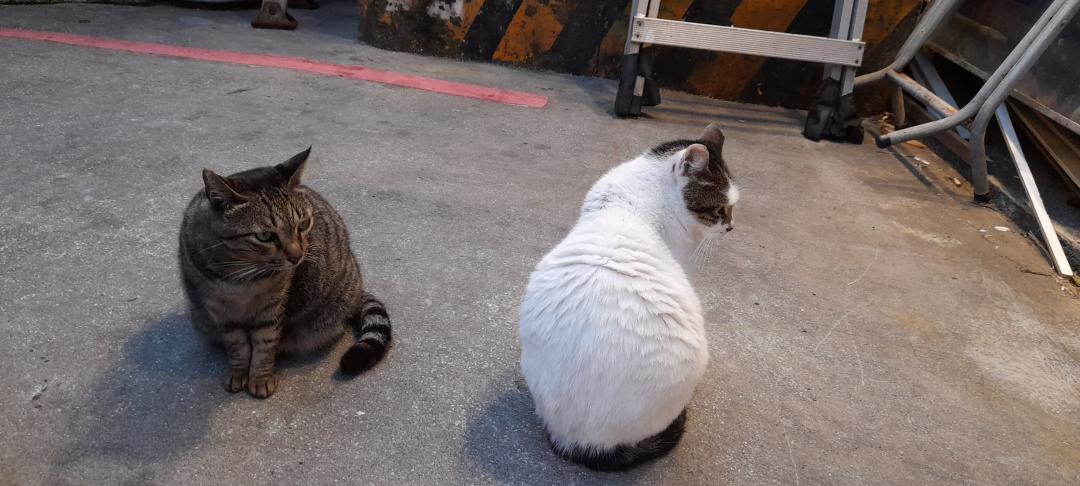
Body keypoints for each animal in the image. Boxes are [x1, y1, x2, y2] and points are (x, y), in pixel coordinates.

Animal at [178, 147, 391, 398]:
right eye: (265, 236)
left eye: (303, 224)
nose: (297, 256)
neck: (241, 278)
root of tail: (358, 286)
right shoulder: (222, 311)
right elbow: (237, 346)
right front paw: (239, 372)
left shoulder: (272, 308)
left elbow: (264, 344)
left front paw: (260, 377)